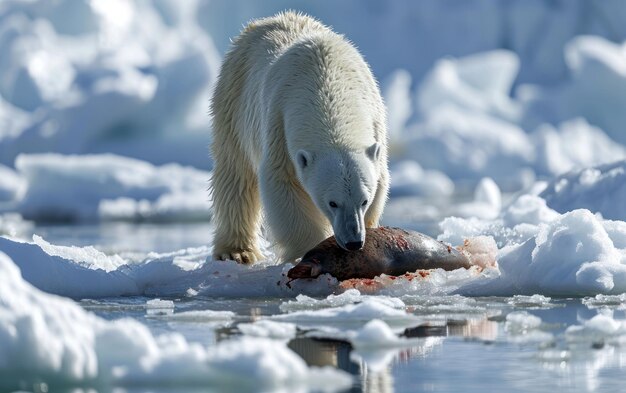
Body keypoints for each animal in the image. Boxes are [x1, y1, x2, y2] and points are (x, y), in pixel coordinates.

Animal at [210, 11, 386, 264]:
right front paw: (310, 251)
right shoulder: (279, 127)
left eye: (364, 200)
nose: (354, 242)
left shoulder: (376, 119)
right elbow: (282, 186)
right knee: (236, 175)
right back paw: (237, 251)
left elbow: (381, 179)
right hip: (233, 103)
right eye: (332, 202)